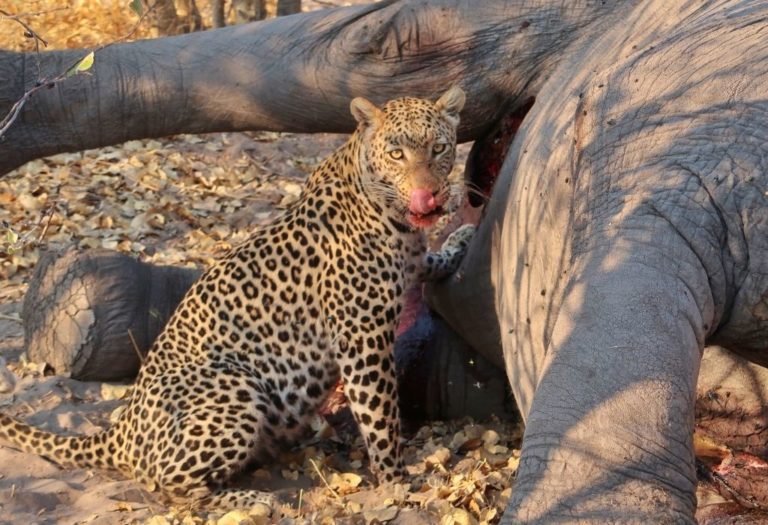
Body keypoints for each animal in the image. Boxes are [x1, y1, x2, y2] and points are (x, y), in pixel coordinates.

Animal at [0, 86, 474, 512]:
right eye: (396, 154)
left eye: (439, 149)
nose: (429, 195)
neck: (390, 216)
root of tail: (121, 431)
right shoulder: (361, 337)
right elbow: (380, 413)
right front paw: (396, 479)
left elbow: (427, 261)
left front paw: (460, 239)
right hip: (235, 386)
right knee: (169, 489)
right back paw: (253, 499)